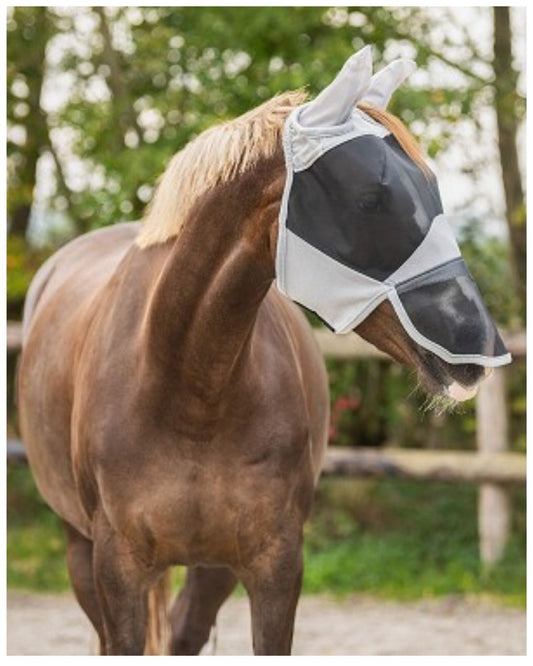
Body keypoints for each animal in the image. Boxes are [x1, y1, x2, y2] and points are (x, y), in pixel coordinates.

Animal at [18, 47, 509, 655]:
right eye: (370, 198)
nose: (479, 347)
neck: (188, 387)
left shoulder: (274, 565)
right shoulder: (117, 570)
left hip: (211, 568)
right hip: (79, 550)